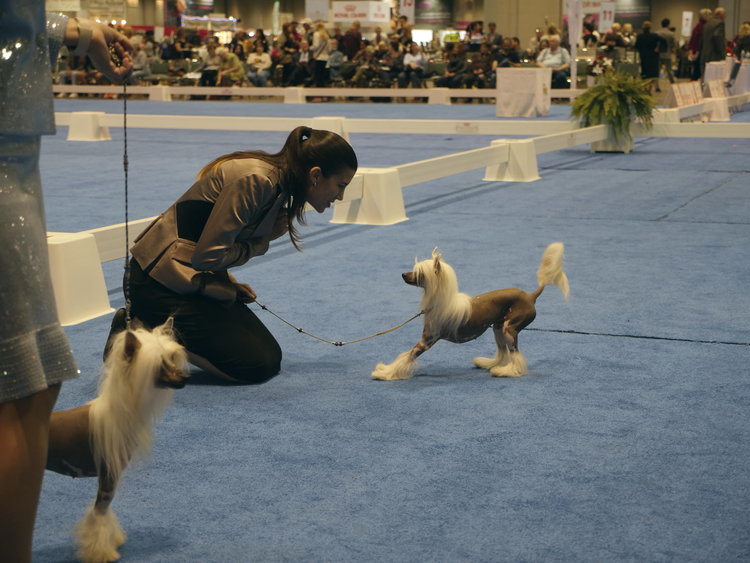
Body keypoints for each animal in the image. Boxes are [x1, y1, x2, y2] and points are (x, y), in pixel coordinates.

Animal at [374, 243, 572, 382]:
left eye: (419, 273)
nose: (402, 274)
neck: (440, 302)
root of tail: (531, 296)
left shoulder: (426, 341)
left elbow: (406, 357)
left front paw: (385, 373)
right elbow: (405, 356)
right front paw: (385, 370)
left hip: (510, 328)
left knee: (515, 353)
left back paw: (507, 371)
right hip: (498, 327)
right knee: (503, 351)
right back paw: (489, 363)